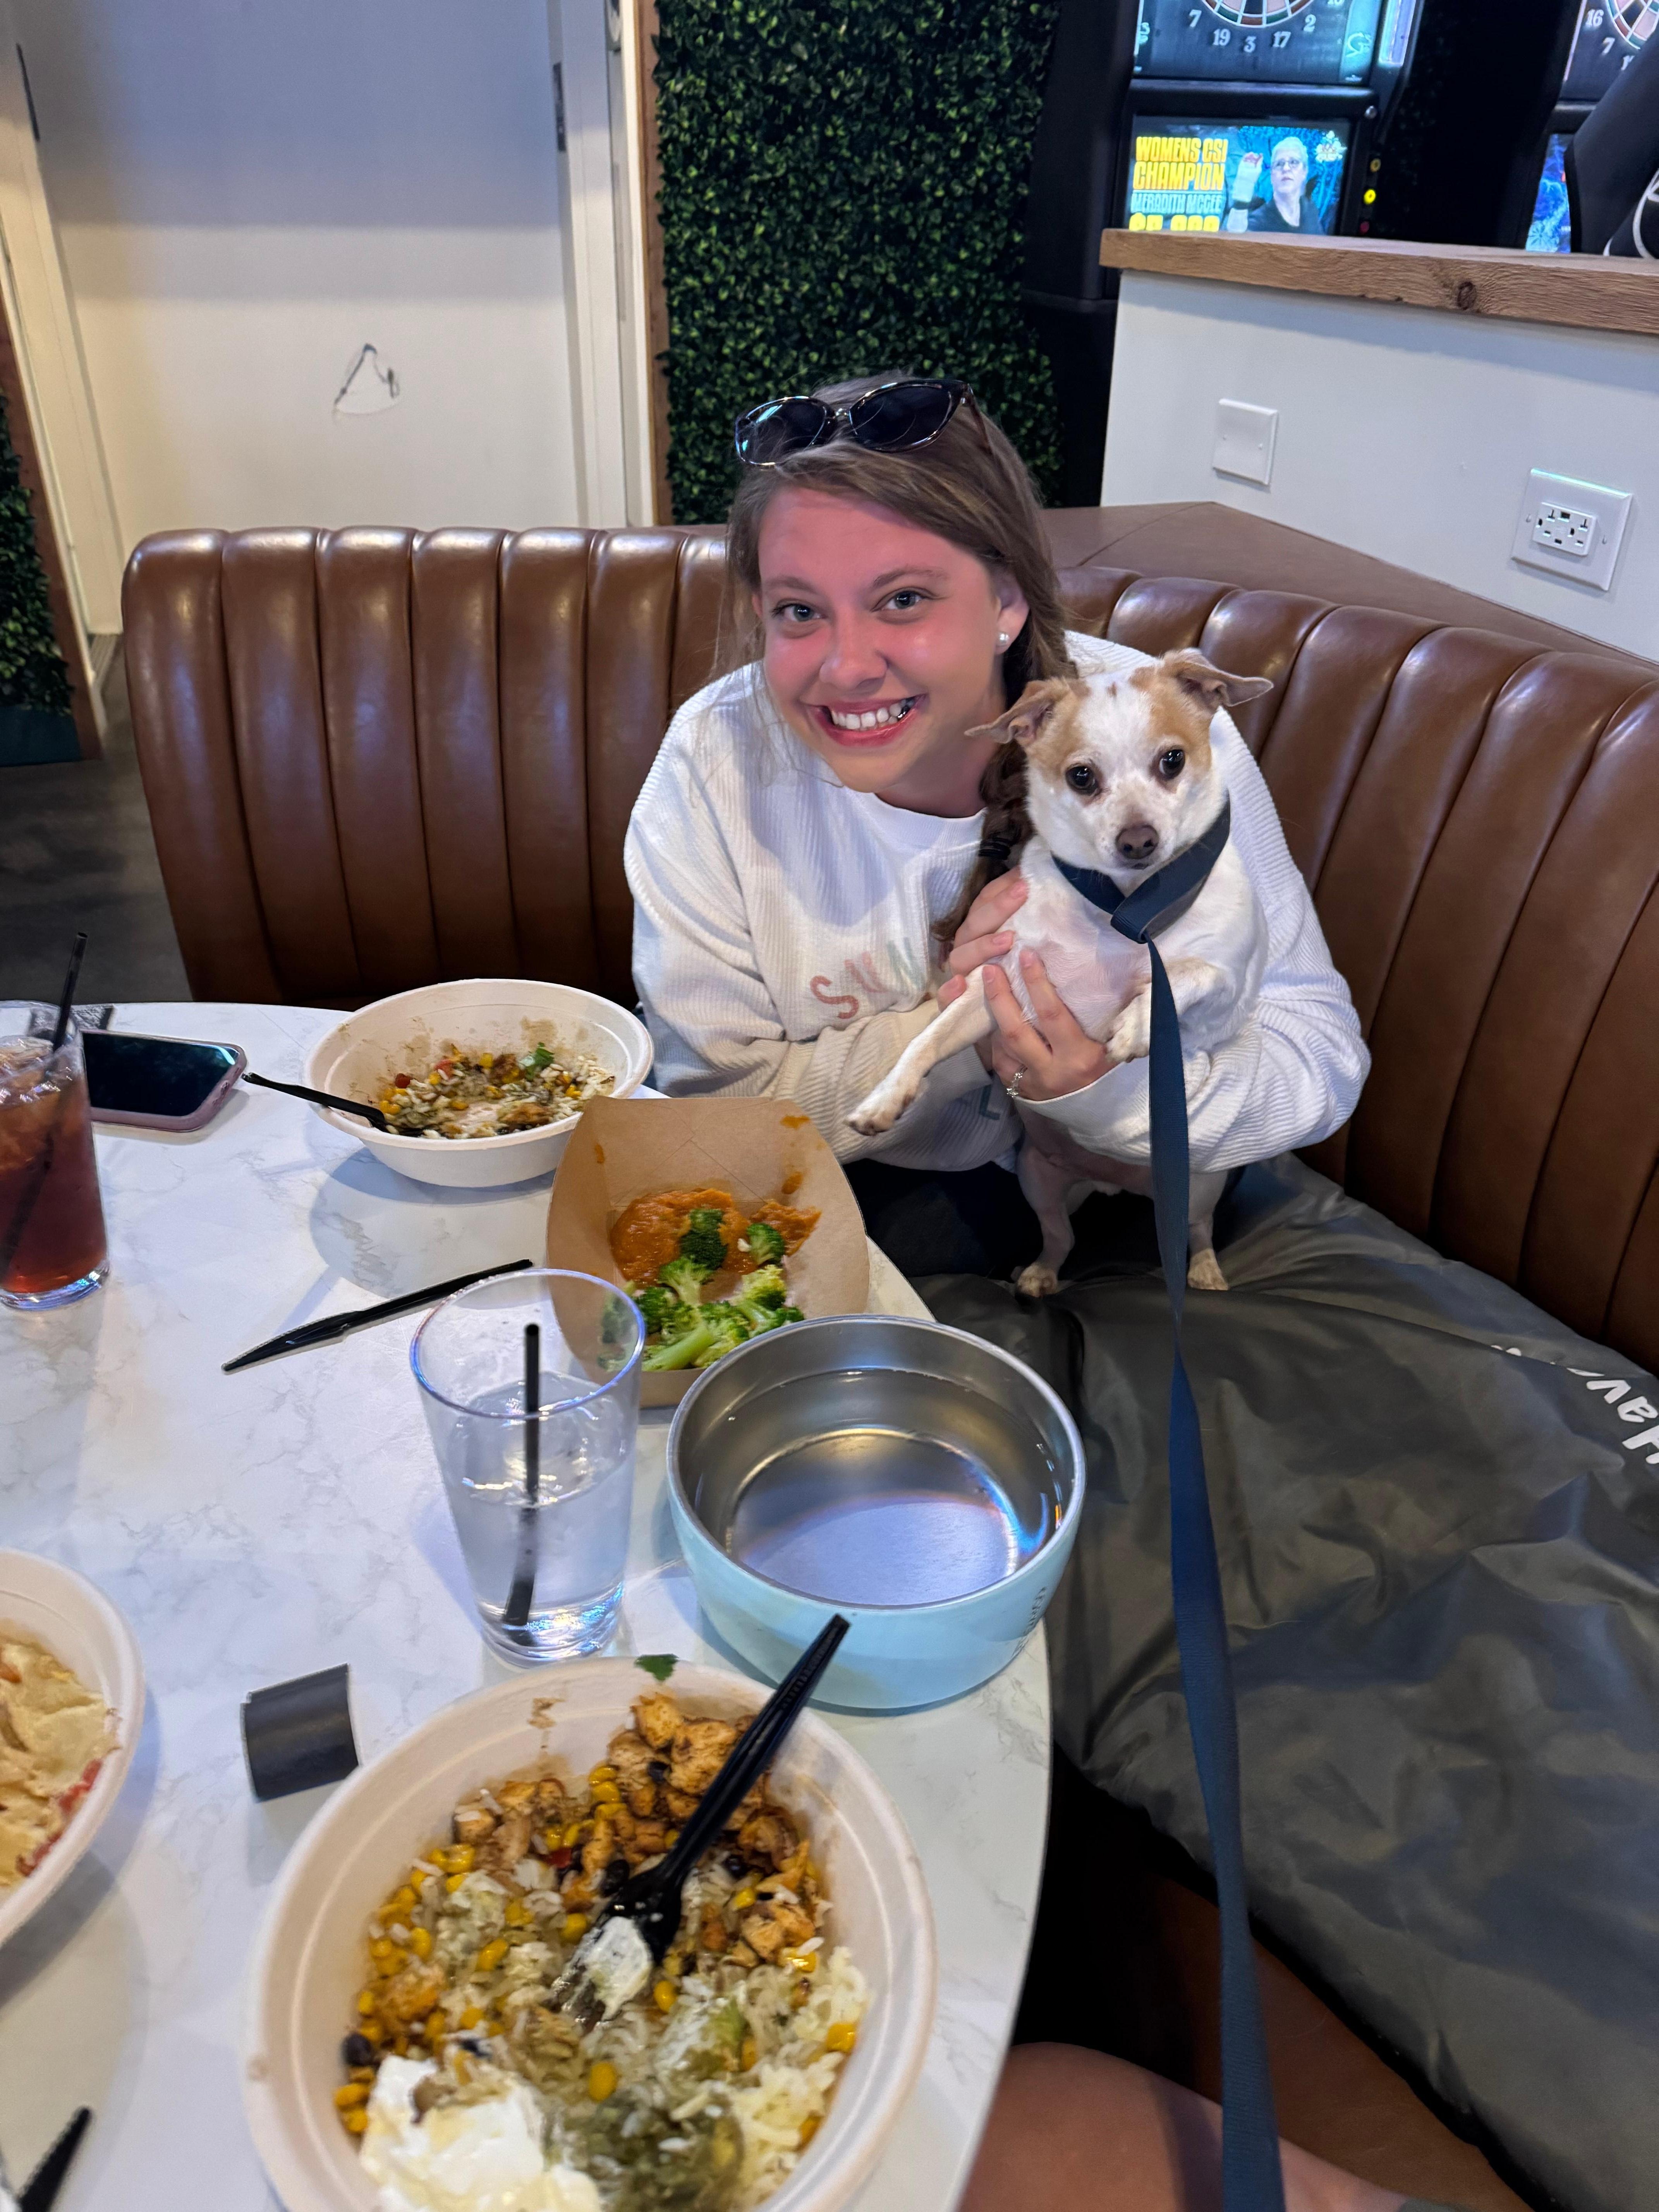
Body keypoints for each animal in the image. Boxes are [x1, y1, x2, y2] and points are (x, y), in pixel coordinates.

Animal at [848, 650, 1273, 1296]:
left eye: (1172, 761)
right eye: (1082, 777)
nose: (1138, 840)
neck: (1122, 910)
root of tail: (1113, 1182)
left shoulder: (1227, 990)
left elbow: (1186, 974)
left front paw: (1137, 1023)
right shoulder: (993, 989)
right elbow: (926, 1042)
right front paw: (884, 1100)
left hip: (1201, 1185)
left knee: (1196, 1232)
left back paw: (1204, 1269)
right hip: (1038, 1179)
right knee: (1062, 1239)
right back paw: (1040, 1275)